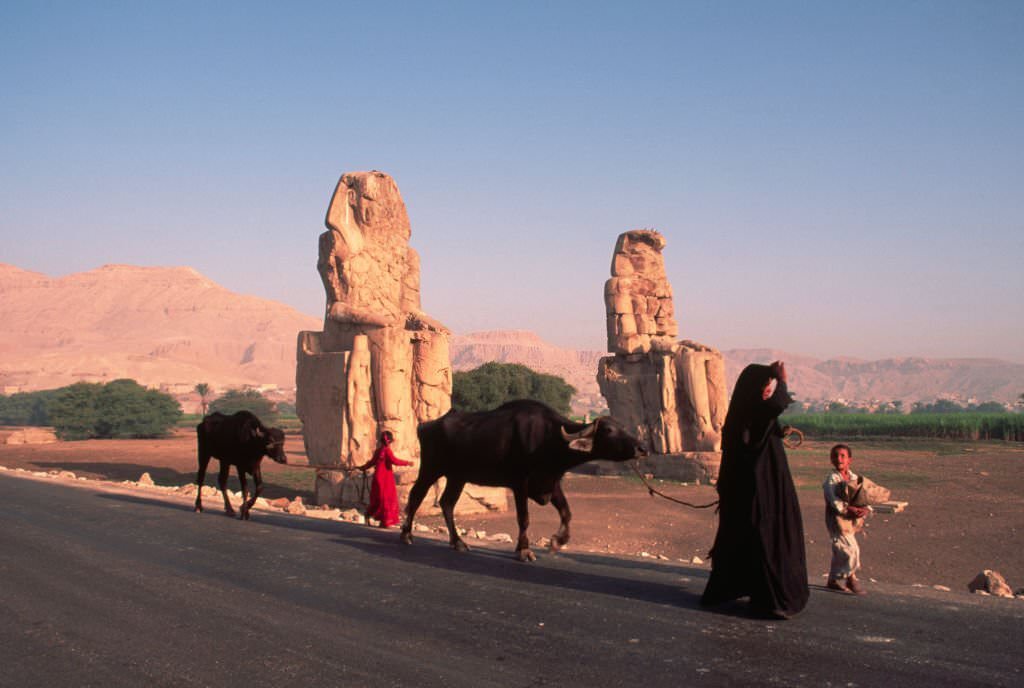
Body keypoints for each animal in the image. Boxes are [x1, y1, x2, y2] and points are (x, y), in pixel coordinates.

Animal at [401, 401, 647, 561]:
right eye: (609, 430)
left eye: (622, 426)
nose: (641, 448)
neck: (549, 439)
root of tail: (426, 425)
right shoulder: (520, 483)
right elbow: (524, 518)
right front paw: (524, 550)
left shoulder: (551, 484)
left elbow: (567, 512)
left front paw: (557, 541)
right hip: (431, 469)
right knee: (416, 495)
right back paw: (407, 535)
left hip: (457, 477)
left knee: (447, 503)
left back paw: (458, 542)